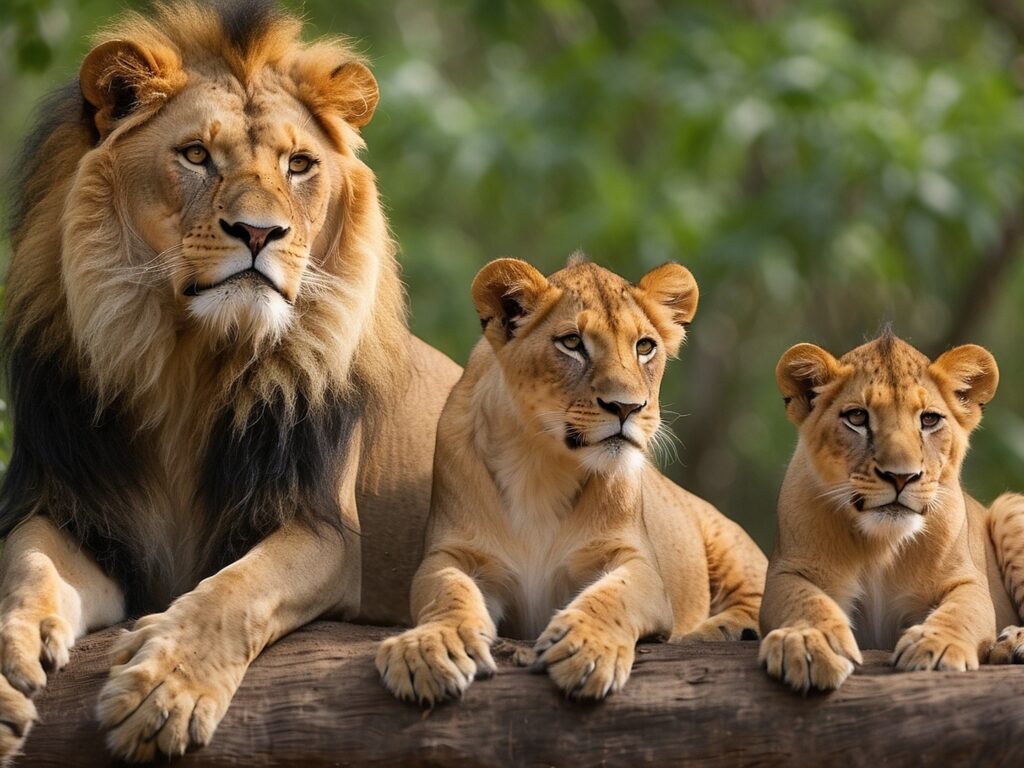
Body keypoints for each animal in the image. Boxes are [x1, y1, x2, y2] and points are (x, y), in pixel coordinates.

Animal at [0, 0, 460, 760]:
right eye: (195, 156)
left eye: (299, 165)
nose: (259, 233)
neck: (189, 362)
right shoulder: (75, 513)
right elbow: (28, 563)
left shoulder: (322, 531)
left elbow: (237, 590)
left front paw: (164, 690)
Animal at [375, 256, 768, 704]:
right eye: (572, 343)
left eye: (645, 346)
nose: (626, 407)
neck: (540, 464)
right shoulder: (452, 553)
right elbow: (447, 591)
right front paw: (429, 649)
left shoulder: (637, 563)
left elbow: (614, 595)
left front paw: (586, 649)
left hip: (725, 535)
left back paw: (722, 630)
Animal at [759, 329, 1024, 692]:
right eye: (857, 417)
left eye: (929, 419)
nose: (901, 476)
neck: (881, 543)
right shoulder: (787, 572)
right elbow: (804, 600)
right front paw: (809, 642)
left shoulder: (968, 579)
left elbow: (962, 611)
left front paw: (937, 645)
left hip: (1009, 508)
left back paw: (1013, 642)